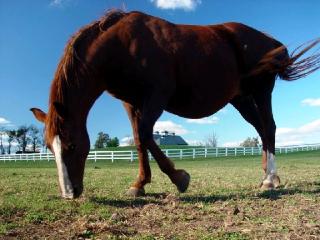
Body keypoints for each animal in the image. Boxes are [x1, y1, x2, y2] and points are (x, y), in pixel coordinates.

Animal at [30, 10, 320, 198]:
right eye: (49, 148)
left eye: (72, 145)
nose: (69, 193)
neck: (123, 45)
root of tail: (272, 42)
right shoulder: (130, 103)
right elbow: (139, 140)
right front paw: (140, 184)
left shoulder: (156, 96)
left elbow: (146, 135)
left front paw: (179, 178)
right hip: (241, 98)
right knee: (261, 129)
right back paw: (268, 176)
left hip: (261, 91)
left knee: (269, 128)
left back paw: (270, 179)